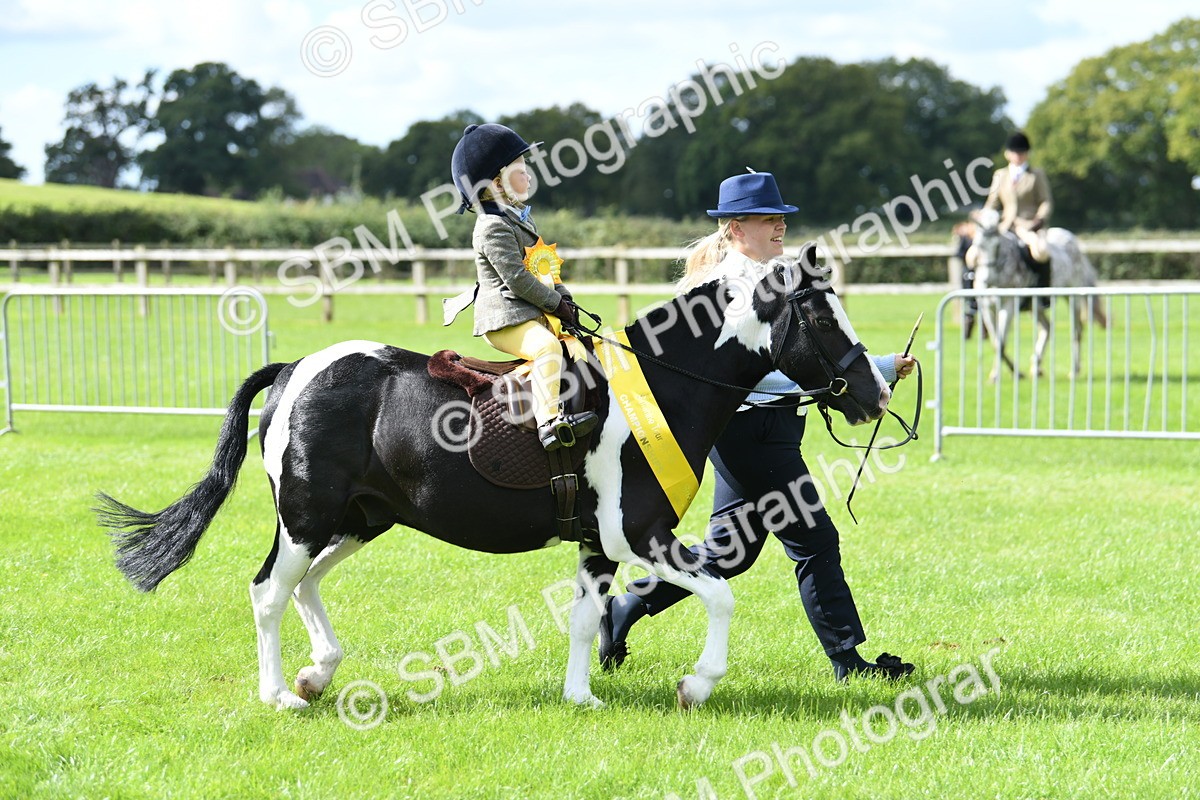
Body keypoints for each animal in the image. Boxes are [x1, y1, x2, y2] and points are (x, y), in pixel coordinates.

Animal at [96, 255, 891, 712]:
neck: (661, 386)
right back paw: (278, 695)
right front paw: (695, 685)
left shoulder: (598, 546)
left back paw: (318, 675)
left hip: (358, 520)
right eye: (819, 313)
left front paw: (580, 697)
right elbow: (721, 595)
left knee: (305, 586)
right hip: (307, 517)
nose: (874, 393)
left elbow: (586, 618)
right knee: (268, 591)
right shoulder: (638, 534)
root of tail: (296, 369)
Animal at [968, 208, 1107, 381]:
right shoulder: (986, 308)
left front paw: (998, 375)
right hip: (1035, 306)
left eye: (997, 245)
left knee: (1077, 330)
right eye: (977, 244)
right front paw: (1011, 372)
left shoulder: (1009, 305)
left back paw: (1074, 371)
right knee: (1048, 327)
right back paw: (1036, 366)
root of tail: (1072, 240)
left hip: (1072, 296)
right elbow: (995, 341)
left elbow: (1001, 341)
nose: (987, 279)